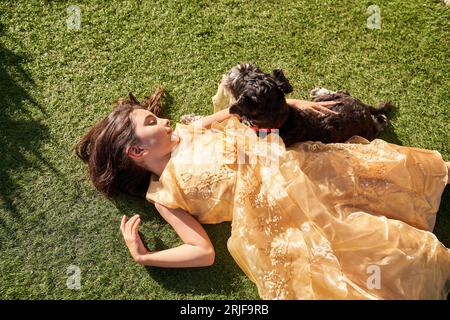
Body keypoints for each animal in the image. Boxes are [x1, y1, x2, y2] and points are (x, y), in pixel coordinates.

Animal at [213, 63, 392, 148]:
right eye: (257, 72)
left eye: (241, 81)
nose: (242, 66)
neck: (282, 121)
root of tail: (365, 109)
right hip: (339, 98)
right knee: (342, 91)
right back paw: (320, 92)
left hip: (366, 134)